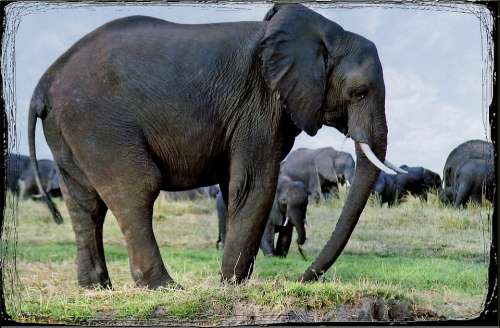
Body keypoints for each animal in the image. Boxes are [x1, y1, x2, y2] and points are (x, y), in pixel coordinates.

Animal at [29, 3, 400, 288]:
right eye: (359, 92)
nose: (301, 279)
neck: (326, 32)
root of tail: (44, 83)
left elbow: (236, 185)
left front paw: (233, 282)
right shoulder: (258, 106)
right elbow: (253, 185)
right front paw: (231, 285)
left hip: (68, 131)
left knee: (84, 203)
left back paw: (97, 288)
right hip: (99, 123)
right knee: (135, 189)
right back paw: (164, 287)